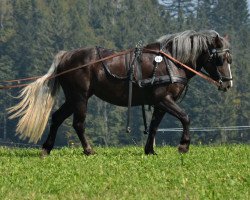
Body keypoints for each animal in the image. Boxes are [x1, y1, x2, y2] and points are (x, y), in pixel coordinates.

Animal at [8, 29, 232, 155]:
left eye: (230, 59)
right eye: (220, 59)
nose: (228, 84)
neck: (171, 62)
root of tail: (65, 56)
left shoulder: (160, 103)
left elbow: (154, 126)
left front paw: (150, 151)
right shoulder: (164, 99)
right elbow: (185, 117)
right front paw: (183, 146)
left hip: (73, 98)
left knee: (56, 118)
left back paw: (46, 148)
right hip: (80, 97)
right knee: (78, 124)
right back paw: (89, 150)